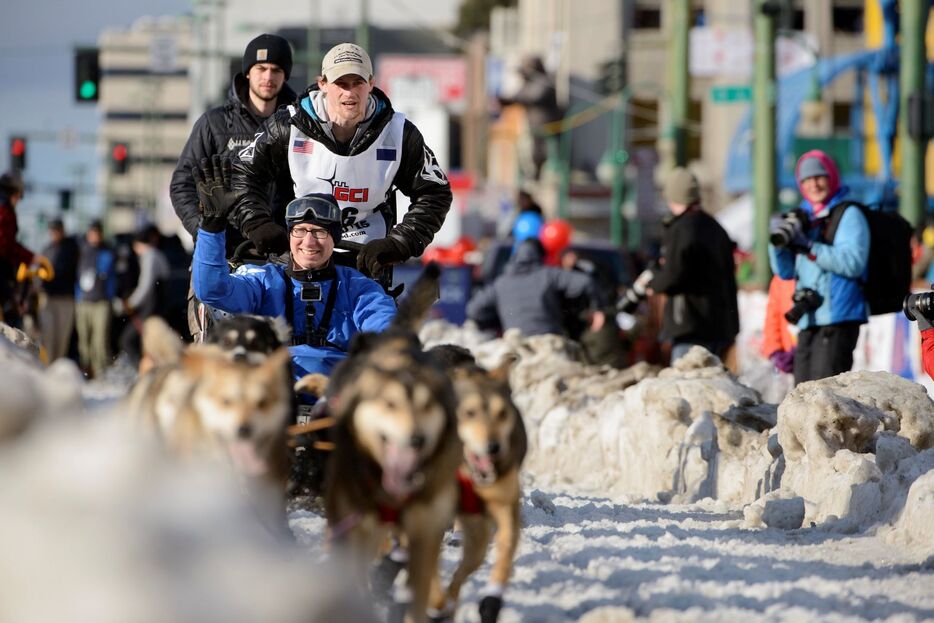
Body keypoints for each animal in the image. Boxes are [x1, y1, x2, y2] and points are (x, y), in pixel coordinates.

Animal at [430, 346, 532, 623]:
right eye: (469, 412)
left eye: (503, 413)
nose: (493, 447)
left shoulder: (503, 507)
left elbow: (505, 550)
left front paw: (491, 601)